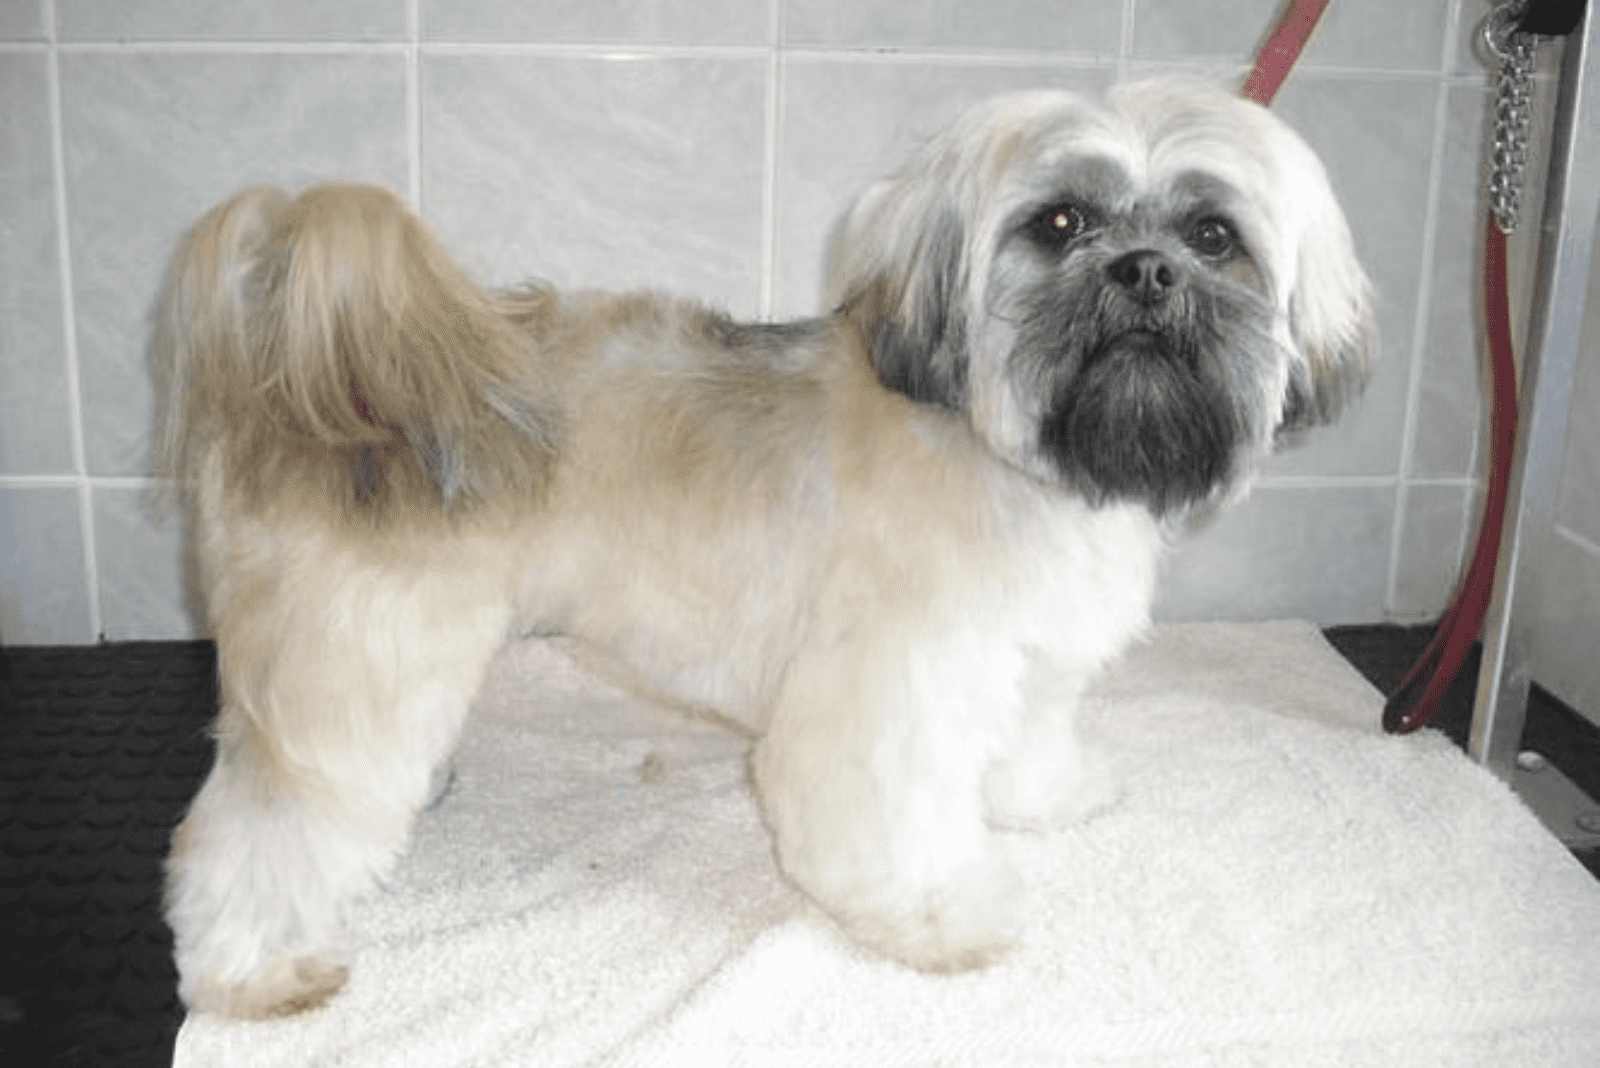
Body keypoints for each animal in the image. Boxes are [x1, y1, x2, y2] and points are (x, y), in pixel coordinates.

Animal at [152, 77, 1376, 1016]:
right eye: (1062, 222)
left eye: (1212, 235)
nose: (1146, 272)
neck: (1004, 450)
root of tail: (295, 379)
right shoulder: (888, 693)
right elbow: (892, 823)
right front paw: (948, 916)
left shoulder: (1021, 661)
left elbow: (1026, 743)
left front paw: (1044, 796)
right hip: (352, 669)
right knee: (260, 830)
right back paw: (252, 971)